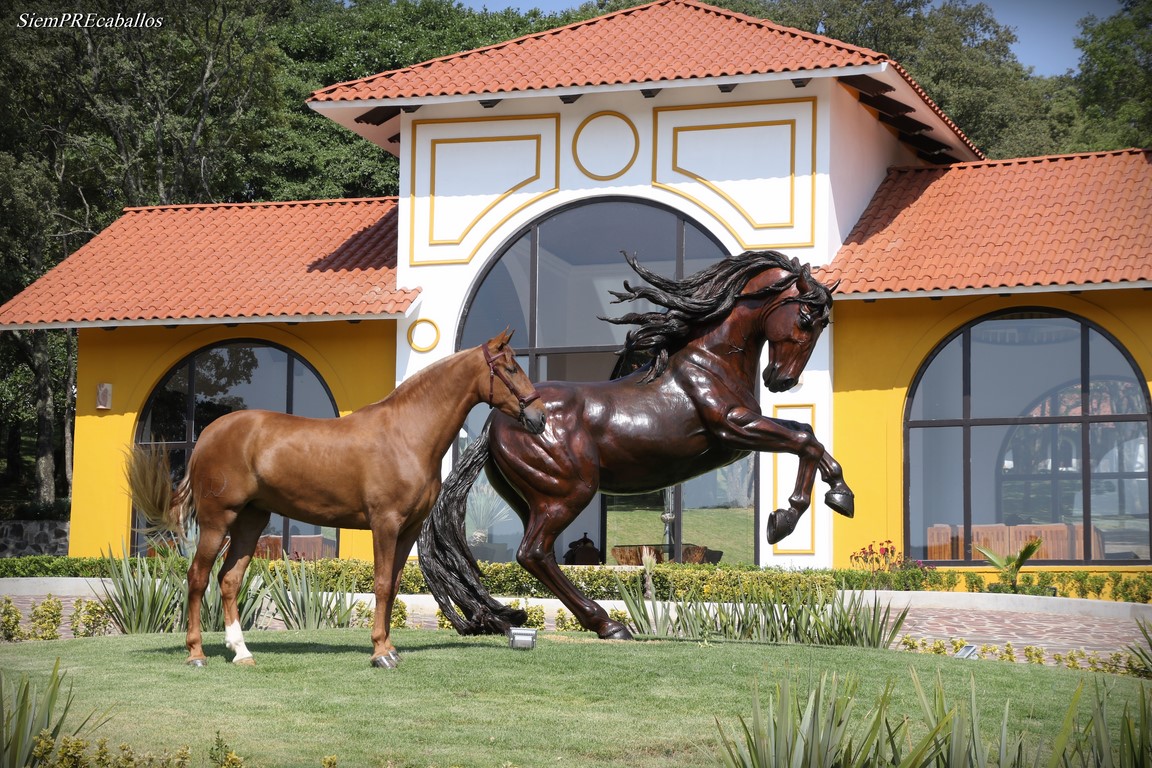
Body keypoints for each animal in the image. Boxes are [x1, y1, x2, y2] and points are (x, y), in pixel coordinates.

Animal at [129, 331, 543, 667]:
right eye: (510, 368)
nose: (538, 416)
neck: (406, 433)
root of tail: (207, 436)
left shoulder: (409, 529)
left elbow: (394, 585)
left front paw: (389, 648)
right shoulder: (385, 523)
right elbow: (381, 584)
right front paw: (380, 654)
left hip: (251, 521)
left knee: (229, 579)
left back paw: (242, 652)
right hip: (218, 520)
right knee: (198, 578)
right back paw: (196, 653)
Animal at [419, 251, 852, 635]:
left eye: (823, 324)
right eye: (806, 318)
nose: (780, 380)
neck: (710, 362)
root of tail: (496, 423)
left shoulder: (744, 433)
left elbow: (805, 431)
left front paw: (833, 497)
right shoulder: (735, 429)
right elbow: (805, 439)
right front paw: (788, 519)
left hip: (532, 499)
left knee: (537, 553)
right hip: (568, 492)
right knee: (534, 552)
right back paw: (609, 624)